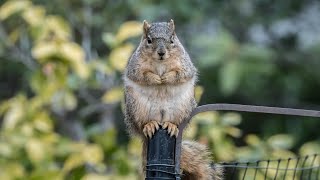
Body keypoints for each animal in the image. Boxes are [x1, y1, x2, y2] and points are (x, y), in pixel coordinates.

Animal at [122, 19, 222, 179]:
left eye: (172, 40)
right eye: (149, 40)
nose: (161, 53)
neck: (161, 63)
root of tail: (161, 119)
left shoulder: (185, 64)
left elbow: (182, 74)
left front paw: (167, 77)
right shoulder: (134, 66)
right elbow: (141, 75)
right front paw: (155, 78)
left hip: (182, 107)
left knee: (175, 121)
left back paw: (171, 125)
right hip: (136, 107)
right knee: (142, 124)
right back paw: (149, 125)